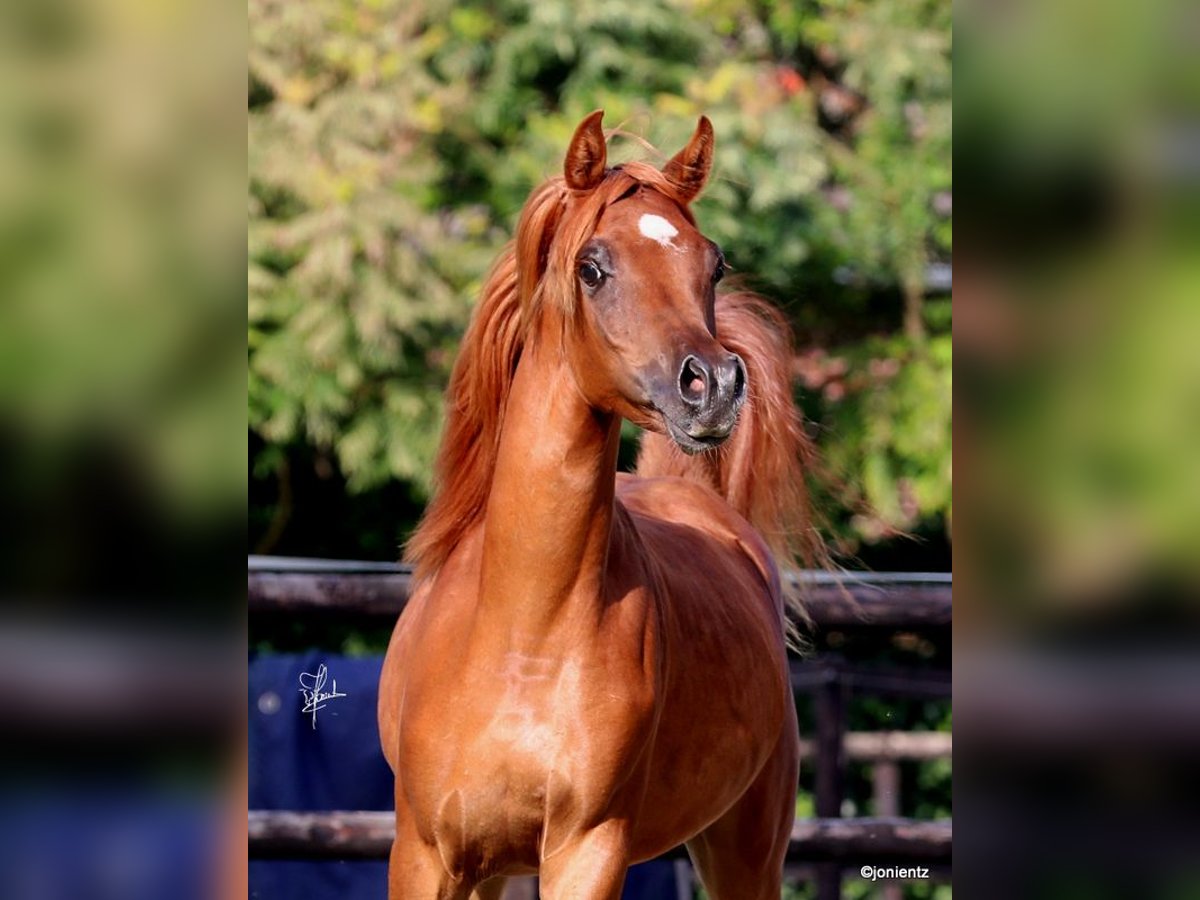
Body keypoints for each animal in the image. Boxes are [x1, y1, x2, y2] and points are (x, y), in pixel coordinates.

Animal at [379, 109, 820, 897]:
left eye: (714, 265)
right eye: (593, 266)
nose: (712, 385)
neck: (520, 635)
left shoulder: (588, 849)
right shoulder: (426, 855)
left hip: (746, 847)